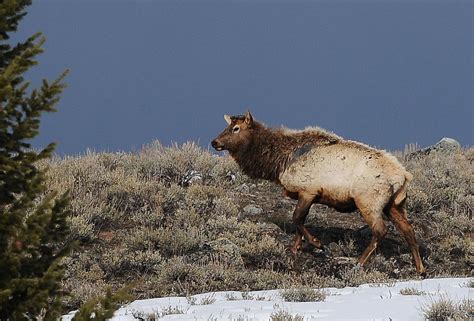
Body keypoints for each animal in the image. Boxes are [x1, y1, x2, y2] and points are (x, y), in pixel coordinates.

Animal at [211, 111, 426, 274]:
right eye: (228, 126)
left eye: (236, 128)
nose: (214, 142)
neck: (279, 162)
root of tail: (403, 176)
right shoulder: (306, 194)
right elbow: (298, 222)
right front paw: (295, 248)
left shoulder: (308, 191)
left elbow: (297, 219)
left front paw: (317, 243)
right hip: (394, 204)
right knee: (408, 229)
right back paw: (420, 268)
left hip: (369, 202)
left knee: (380, 230)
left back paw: (359, 262)